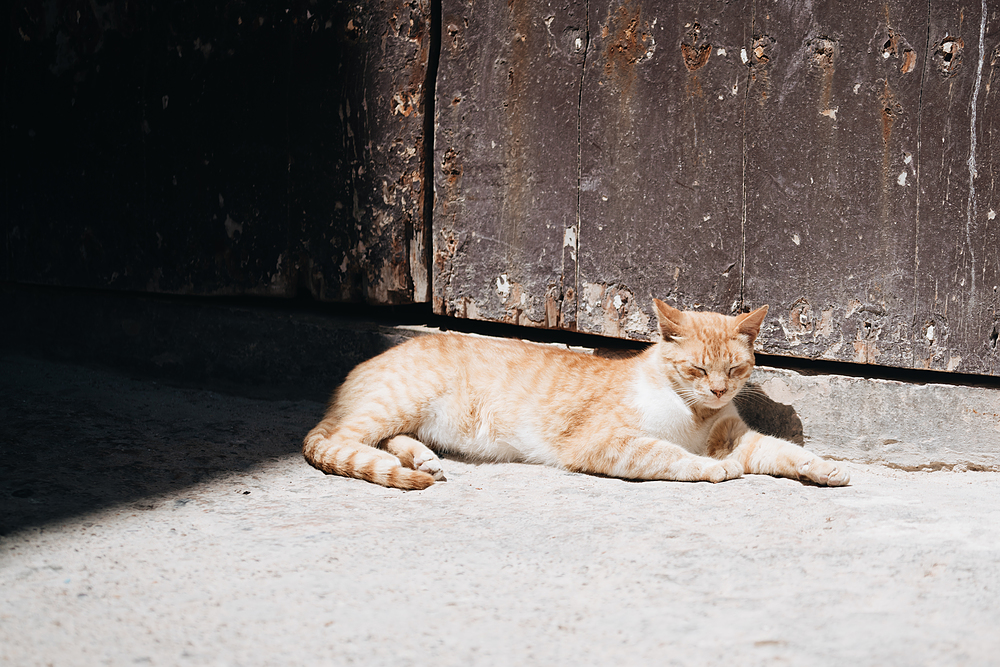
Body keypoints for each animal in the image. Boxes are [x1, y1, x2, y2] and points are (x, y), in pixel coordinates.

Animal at [300, 300, 848, 488]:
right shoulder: (604, 441)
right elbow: (667, 454)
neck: (693, 414)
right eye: (696, 368)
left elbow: (780, 450)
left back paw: (424, 459)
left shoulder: (737, 437)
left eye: (734, 369)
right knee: (345, 440)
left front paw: (822, 467)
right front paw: (712, 469)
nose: (717, 390)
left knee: (382, 440)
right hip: (397, 402)